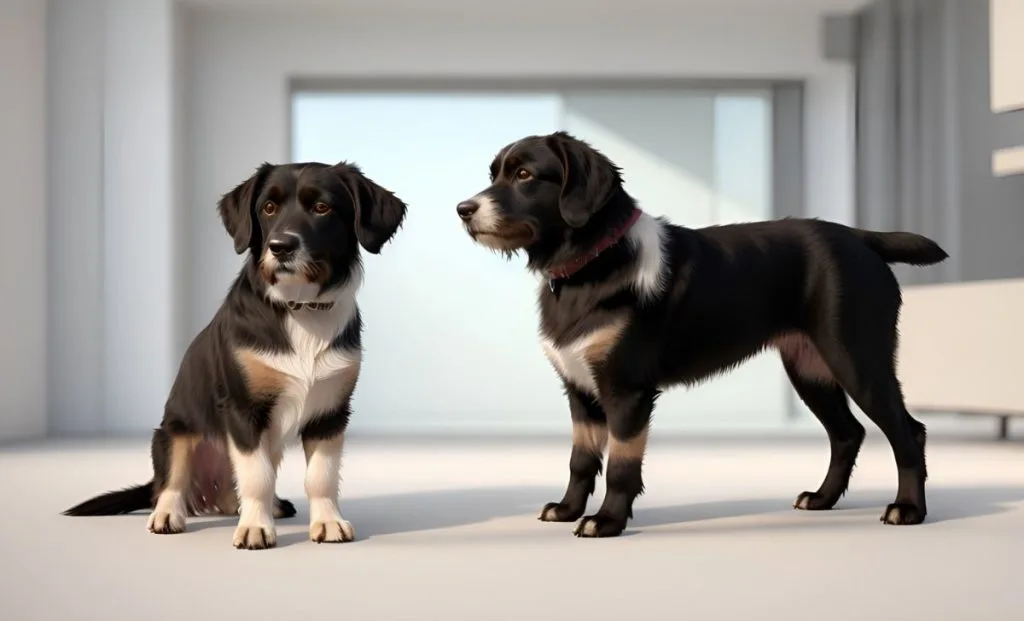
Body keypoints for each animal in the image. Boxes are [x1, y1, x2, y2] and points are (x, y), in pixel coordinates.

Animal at [61, 159, 407, 549]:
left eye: (322, 208)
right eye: (268, 208)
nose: (280, 246)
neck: (299, 308)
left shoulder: (330, 413)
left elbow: (321, 476)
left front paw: (328, 521)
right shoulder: (244, 410)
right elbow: (257, 476)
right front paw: (255, 527)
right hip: (173, 432)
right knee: (170, 482)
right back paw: (168, 514)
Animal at [458, 131, 950, 541]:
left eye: (525, 174)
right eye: (494, 174)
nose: (463, 210)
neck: (590, 266)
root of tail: (861, 237)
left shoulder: (627, 389)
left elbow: (621, 464)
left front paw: (606, 521)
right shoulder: (579, 388)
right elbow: (581, 460)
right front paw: (566, 509)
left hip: (857, 357)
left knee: (908, 431)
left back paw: (908, 509)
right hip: (810, 367)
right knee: (847, 433)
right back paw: (821, 499)